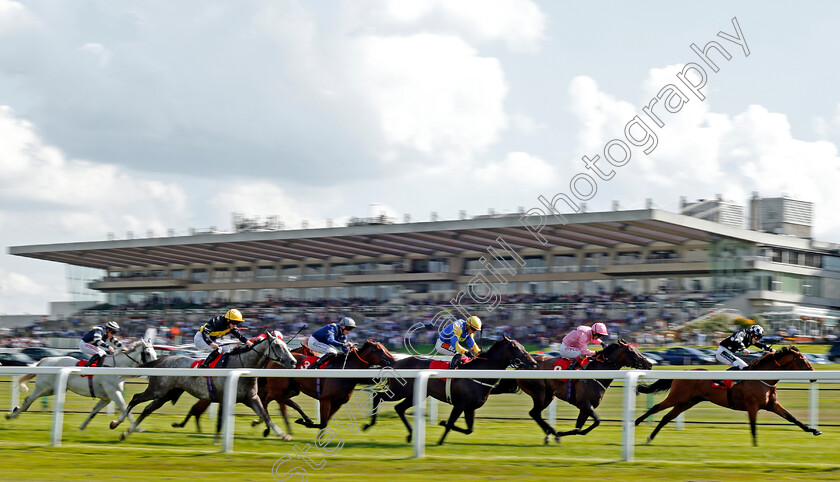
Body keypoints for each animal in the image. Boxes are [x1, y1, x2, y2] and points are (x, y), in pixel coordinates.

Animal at [110, 332, 296, 440]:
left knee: (148, 409)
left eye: (287, 346)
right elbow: (220, 422)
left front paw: (283, 435)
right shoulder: (224, 397)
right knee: (136, 399)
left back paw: (127, 432)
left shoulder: (251, 398)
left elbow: (265, 415)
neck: (240, 365)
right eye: (277, 346)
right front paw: (216, 441)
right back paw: (116, 423)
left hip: (166, 394)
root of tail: (162, 359)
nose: (293, 362)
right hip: (157, 390)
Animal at [362, 336, 536, 444]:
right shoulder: (460, 405)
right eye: (516, 348)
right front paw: (441, 431)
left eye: (523, 347)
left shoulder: (470, 407)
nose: (533, 363)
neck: (479, 372)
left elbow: (469, 430)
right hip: (399, 391)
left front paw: (442, 430)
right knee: (377, 396)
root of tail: (395, 362)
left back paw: (410, 434)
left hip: (415, 395)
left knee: (399, 408)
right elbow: (451, 422)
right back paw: (369, 424)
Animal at [512, 340, 656, 442]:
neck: (597, 371)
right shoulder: (585, 404)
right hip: (539, 393)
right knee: (534, 413)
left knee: (535, 413)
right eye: (632, 351)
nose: (649, 364)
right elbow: (597, 421)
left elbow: (580, 428)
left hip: (549, 396)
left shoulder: (586, 407)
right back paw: (552, 432)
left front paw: (562, 433)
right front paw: (560, 433)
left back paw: (550, 434)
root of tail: (522, 366)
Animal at [636, 346, 820, 444]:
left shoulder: (771, 405)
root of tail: (683, 372)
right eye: (803, 361)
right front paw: (755, 446)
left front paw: (813, 430)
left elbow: (792, 418)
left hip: (687, 401)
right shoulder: (752, 406)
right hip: (678, 397)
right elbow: (753, 426)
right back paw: (637, 422)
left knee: (667, 417)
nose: (814, 374)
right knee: (656, 408)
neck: (761, 378)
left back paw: (650, 438)